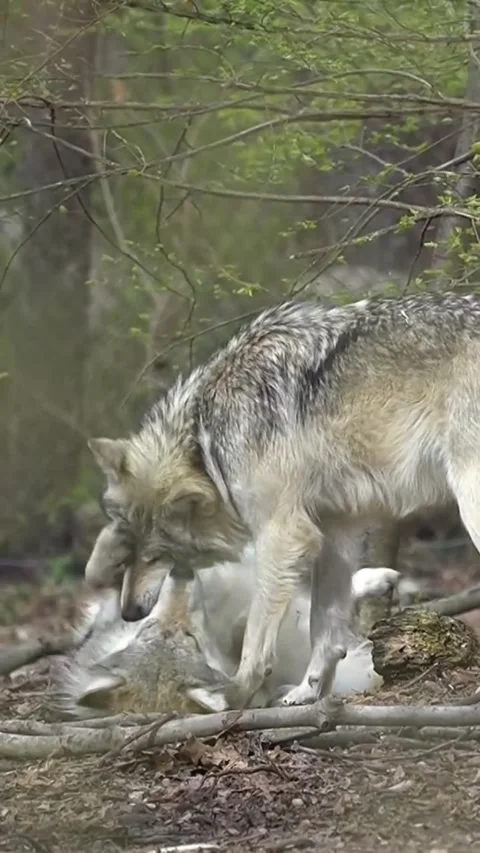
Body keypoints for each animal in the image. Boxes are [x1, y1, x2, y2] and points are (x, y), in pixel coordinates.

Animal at [87, 291, 480, 708]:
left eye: (156, 555)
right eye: (128, 551)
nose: (129, 613)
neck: (206, 443)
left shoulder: (281, 534)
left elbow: (256, 634)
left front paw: (237, 694)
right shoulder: (336, 531)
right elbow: (324, 628)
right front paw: (308, 692)